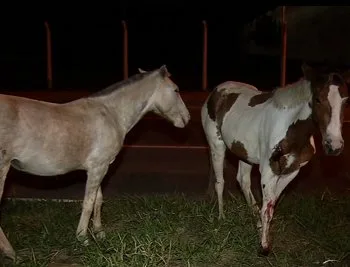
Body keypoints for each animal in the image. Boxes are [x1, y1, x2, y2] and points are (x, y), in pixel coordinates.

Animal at [0, 65, 190, 262]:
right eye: (176, 90)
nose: (187, 118)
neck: (111, 113)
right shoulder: (98, 167)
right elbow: (89, 202)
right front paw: (82, 237)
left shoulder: (99, 167)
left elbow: (98, 200)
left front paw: (99, 232)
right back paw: (11, 252)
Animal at [201, 64, 348, 255]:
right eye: (318, 99)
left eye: (345, 101)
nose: (334, 146)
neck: (292, 131)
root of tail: (216, 90)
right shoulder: (268, 170)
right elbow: (267, 207)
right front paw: (264, 245)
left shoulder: (291, 171)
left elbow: (272, 204)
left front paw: (261, 230)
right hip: (216, 145)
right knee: (220, 182)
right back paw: (221, 217)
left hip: (245, 153)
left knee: (243, 181)